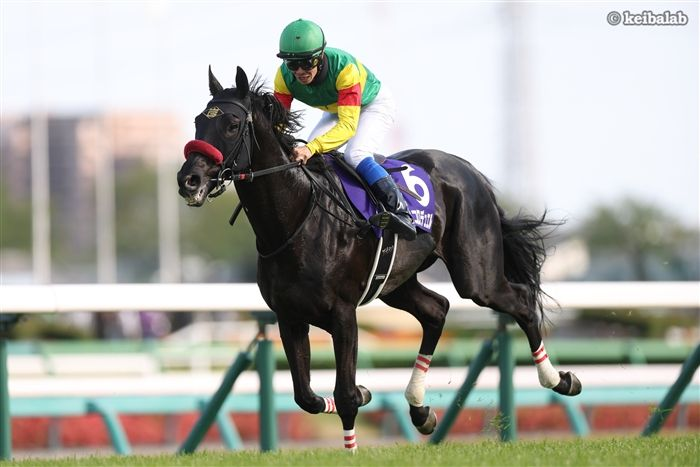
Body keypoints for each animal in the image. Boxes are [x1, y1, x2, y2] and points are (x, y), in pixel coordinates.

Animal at [177, 66, 582, 451]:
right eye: (198, 121)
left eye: (231, 125)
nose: (188, 180)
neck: (295, 221)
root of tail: (469, 170)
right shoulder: (289, 316)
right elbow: (306, 396)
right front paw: (364, 392)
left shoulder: (342, 313)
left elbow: (343, 395)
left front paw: (353, 435)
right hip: (396, 283)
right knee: (436, 310)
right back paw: (420, 410)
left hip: (476, 275)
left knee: (520, 301)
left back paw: (559, 379)